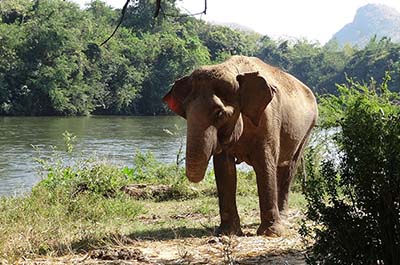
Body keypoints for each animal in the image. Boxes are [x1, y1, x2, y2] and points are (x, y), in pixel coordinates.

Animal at [162, 55, 318, 235]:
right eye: (186, 113)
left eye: (220, 114)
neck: (233, 71)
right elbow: (224, 169)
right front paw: (227, 233)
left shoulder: (268, 119)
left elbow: (265, 164)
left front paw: (271, 233)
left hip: (307, 129)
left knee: (289, 168)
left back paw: (283, 219)